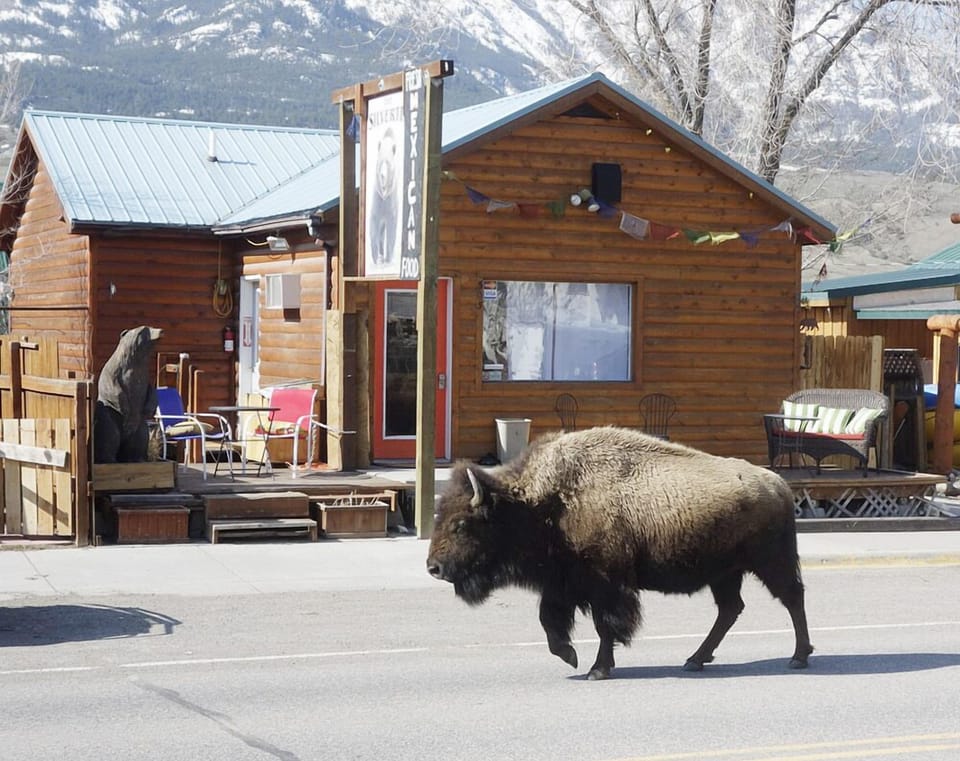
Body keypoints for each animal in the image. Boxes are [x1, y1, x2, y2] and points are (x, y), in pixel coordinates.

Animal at [426, 426, 813, 680]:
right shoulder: (562, 583)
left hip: (769, 563)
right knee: (731, 609)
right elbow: (550, 620)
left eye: (461, 524)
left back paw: (798, 657)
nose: (433, 568)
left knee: (792, 598)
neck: (542, 502)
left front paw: (597, 669)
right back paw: (695, 660)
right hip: (725, 573)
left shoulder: (607, 585)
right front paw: (570, 656)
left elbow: (606, 626)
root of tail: (778, 484)